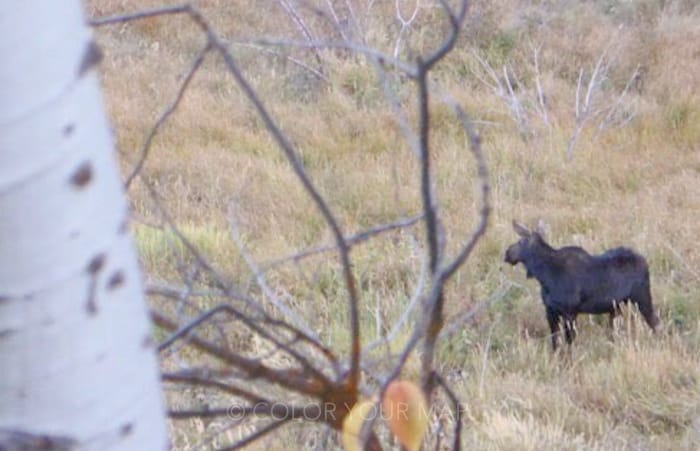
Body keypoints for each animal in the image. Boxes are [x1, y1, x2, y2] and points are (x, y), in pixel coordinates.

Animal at [506, 222, 660, 350]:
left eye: (520, 241)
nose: (507, 253)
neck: (544, 275)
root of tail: (645, 262)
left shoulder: (569, 312)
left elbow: (569, 343)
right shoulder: (550, 310)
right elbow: (555, 342)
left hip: (642, 298)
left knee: (655, 323)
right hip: (617, 307)